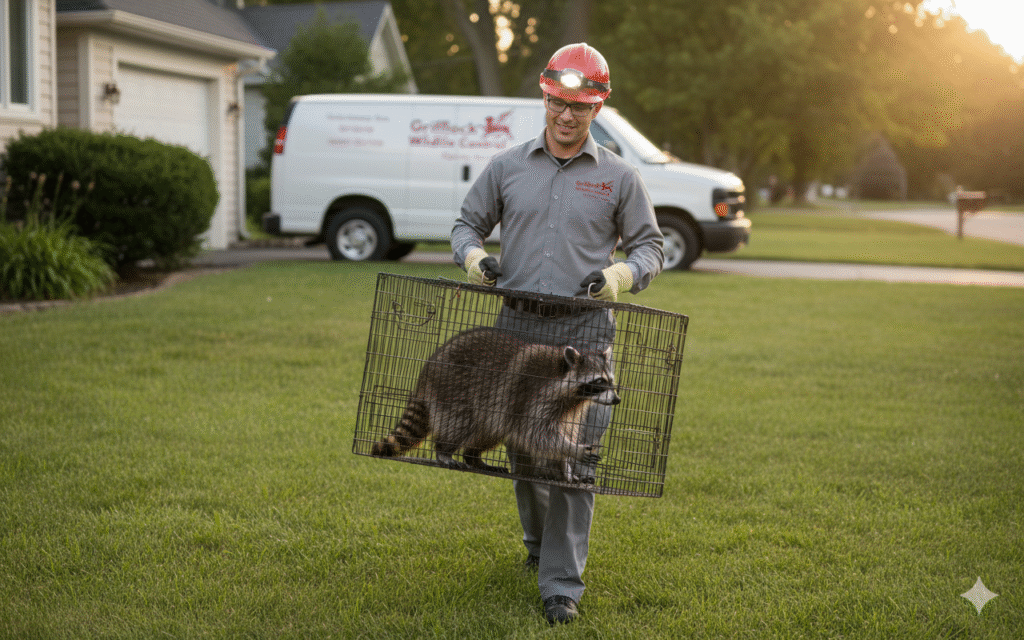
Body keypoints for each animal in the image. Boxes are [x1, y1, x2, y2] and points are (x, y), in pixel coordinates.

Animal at [370, 327, 619, 482]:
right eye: (599, 382)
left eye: (611, 381)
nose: (616, 400)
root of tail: (428, 367)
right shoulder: (534, 397)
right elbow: (537, 433)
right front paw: (571, 449)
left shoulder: (570, 409)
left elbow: (564, 431)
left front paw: (566, 467)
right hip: (452, 387)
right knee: (459, 422)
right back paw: (444, 450)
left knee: (490, 431)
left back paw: (473, 456)